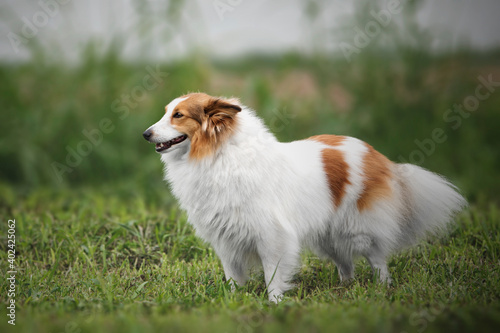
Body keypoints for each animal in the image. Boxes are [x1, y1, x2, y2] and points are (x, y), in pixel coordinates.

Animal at [143, 92, 466, 302]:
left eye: (178, 115)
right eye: (166, 112)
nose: (145, 134)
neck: (220, 155)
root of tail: (379, 157)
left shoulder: (271, 235)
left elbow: (273, 274)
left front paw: (274, 304)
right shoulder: (225, 239)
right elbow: (233, 275)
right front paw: (232, 300)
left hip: (359, 229)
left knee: (376, 258)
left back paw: (381, 287)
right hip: (328, 235)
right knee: (345, 263)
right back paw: (344, 288)